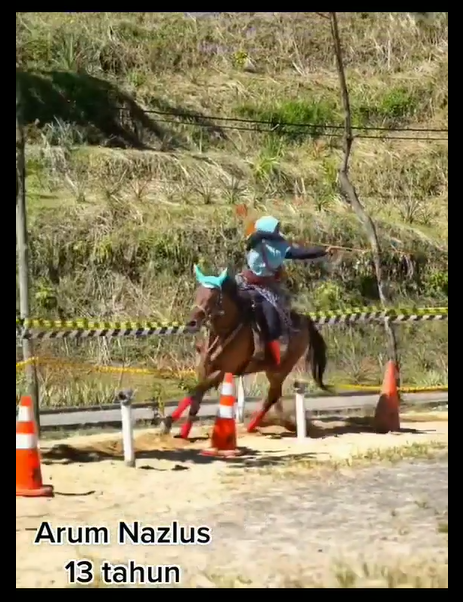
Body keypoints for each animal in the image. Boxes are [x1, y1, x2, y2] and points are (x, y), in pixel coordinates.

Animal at [160, 264, 330, 438]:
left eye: (213, 296)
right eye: (197, 292)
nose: (192, 322)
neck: (226, 331)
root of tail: (305, 321)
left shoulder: (223, 371)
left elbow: (196, 391)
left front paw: (174, 426)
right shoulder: (205, 368)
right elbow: (194, 395)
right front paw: (175, 426)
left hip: (280, 370)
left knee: (272, 396)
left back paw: (251, 426)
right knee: (273, 396)